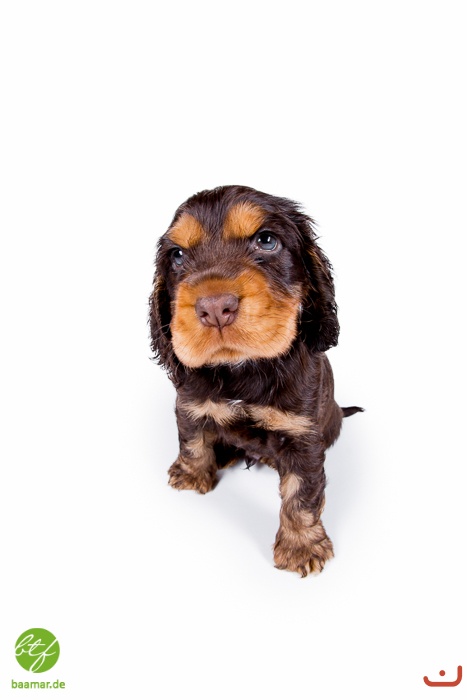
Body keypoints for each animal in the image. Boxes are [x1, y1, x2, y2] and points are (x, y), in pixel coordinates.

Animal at [150, 185, 362, 576]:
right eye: (177, 256)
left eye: (266, 240)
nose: (215, 308)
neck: (242, 369)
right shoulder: (190, 403)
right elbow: (192, 440)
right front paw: (191, 474)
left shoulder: (302, 434)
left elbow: (302, 492)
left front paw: (300, 547)